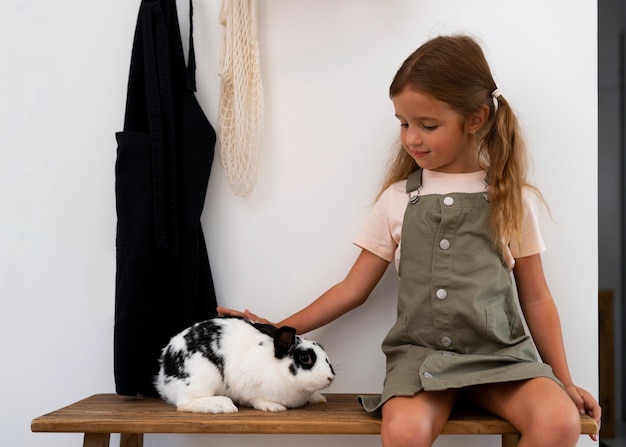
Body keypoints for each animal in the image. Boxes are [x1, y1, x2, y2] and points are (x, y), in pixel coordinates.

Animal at [154, 316, 334, 414]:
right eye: (305, 357)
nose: (330, 377)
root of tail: (163, 376)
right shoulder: (249, 387)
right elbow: (258, 399)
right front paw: (273, 407)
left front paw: (318, 398)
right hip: (202, 376)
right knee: (184, 403)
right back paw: (223, 405)